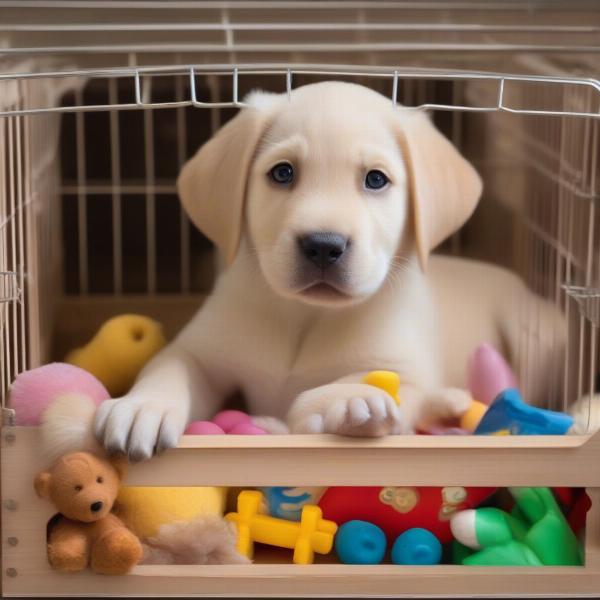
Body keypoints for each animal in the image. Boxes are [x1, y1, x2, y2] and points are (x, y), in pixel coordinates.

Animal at [95, 82, 564, 460]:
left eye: (376, 179)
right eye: (282, 172)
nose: (323, 245)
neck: (306, 316)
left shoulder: (410, 371)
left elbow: (364, 391)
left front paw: (348, 401)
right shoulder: (201, 352)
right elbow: (168, 367)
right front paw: (144, 407)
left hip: (540, 332)